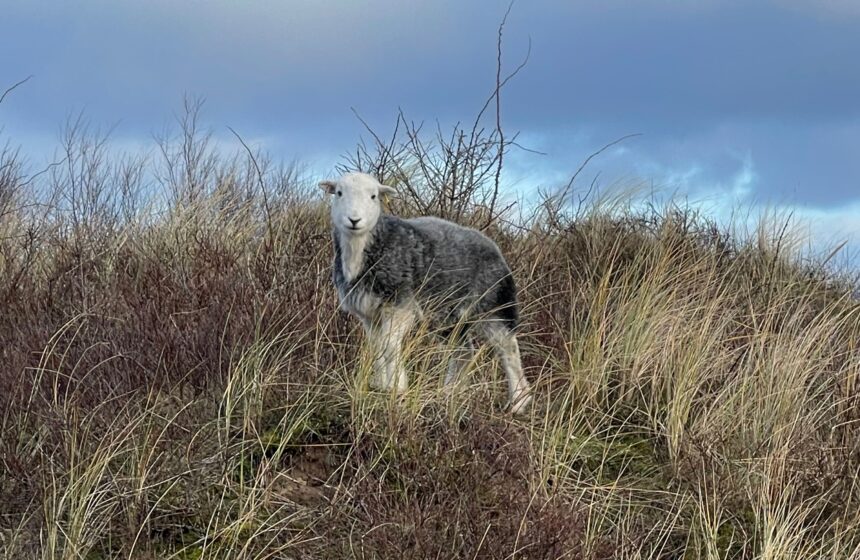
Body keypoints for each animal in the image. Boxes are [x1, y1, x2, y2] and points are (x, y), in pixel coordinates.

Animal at [316, 173, 532, 414]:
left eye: (373, 196)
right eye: (339, 193)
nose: (354, 220)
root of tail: (494, 247)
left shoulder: (400, 305)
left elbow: (389, 347)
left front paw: (397, 387)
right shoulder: (369, 313)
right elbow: (377, 348)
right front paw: (380, 386)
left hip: (493, 305)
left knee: (508, 350)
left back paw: (519, 402)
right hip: (450, 316)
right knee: (463, 352)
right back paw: (449, 393)